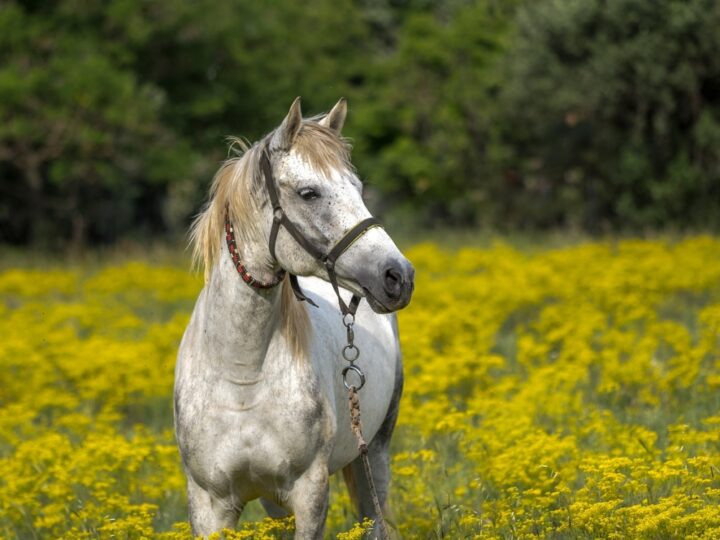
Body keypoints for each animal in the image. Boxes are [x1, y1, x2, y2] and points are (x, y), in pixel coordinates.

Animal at [172, 98, 414, 540]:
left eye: (358, 188)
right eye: (309, 192)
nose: (398, 276)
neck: (242, 376)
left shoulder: (309, 493)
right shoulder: (209, 503)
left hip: (374, 454)